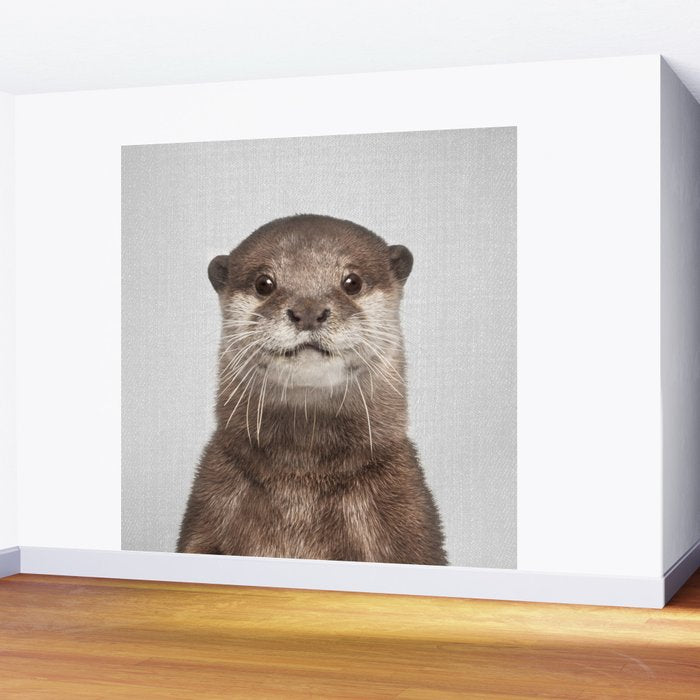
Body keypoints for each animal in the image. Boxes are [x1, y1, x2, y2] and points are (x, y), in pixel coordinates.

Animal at [177, 214, 447, 565]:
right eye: (264, 283)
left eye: (352, 282)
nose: (307, 310)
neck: (300, 487)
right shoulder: (211, 501)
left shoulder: (409, 518)